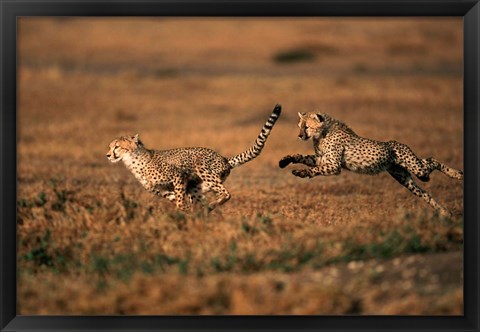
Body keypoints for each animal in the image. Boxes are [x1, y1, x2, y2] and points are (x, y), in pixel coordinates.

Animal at [106, 105, 282, 211]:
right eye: (110, 146)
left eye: (117, 147)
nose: (108, 155)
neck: (134, 160)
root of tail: (224, 158)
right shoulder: (163, 191)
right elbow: (177, 199)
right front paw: (183, 213)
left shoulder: (177, 175)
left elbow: (179, 200)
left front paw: (180, 214)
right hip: (196, 189)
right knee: (203, 199)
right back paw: (203, 212)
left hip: (203, 169)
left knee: (226, 194)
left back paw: (210, 206)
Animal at [280, 110, 464, 217]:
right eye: (299, 126)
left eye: (306, 127)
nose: (299, 135)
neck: (322, 133)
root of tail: (397, 143)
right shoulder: (322, 159)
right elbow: (302, 157)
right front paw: (286, 160)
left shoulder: (333, 166)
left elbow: (316, 169)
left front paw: (301, 173)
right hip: (404, 178)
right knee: (424, 192)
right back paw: (443, 211)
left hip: (417, 168)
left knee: (432, 160)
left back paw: (457, 174)